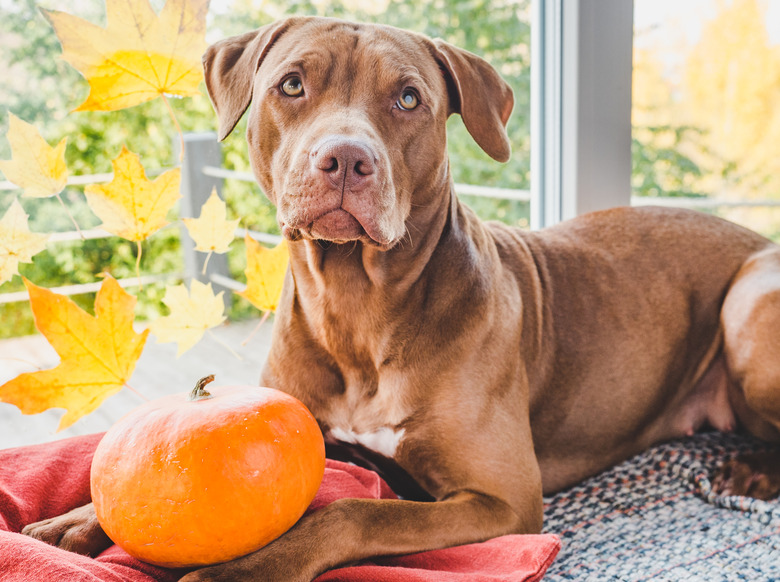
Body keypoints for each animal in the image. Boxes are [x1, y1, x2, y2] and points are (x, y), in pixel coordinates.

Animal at [21, 16, 780, 580]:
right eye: (291, 85)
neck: (359, 305)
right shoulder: (309, 422)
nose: (346, 159)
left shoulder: (503, 500)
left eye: (409, 98)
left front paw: (245, 567)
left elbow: (355, 512)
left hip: (747, 301)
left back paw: (749, 474)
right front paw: (73, 522)